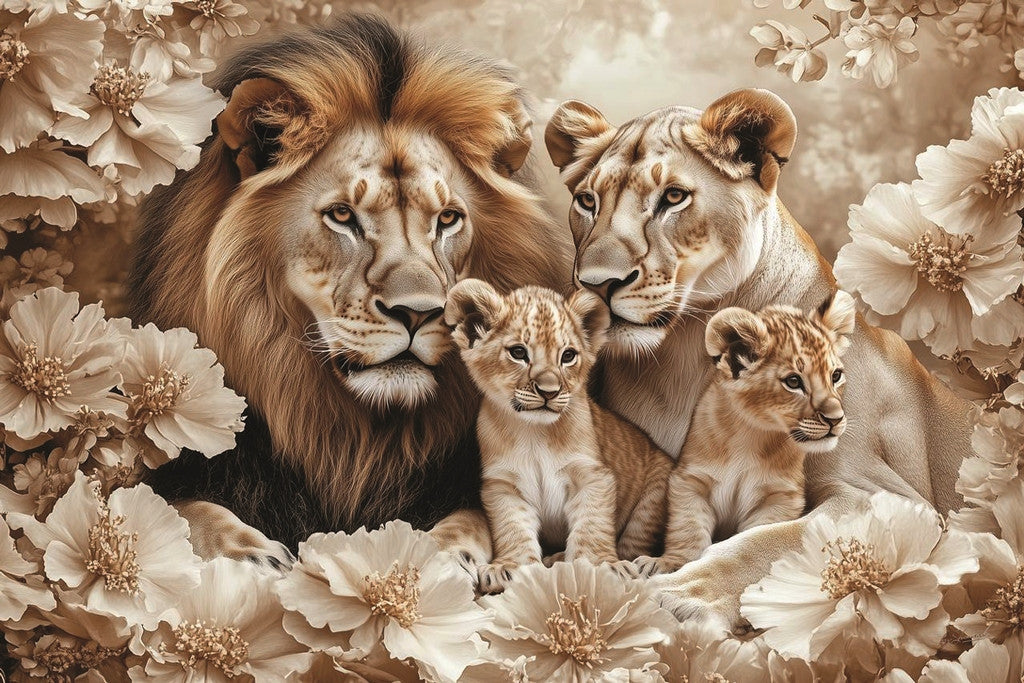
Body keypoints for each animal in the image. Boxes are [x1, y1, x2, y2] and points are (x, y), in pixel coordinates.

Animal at [126, 14, 572, 562]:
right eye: (342, 215)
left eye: (447, 219)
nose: (419, 312)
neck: (352, 439)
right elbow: (182, 515)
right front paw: (251, 554)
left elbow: (478, 518)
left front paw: (439, 552)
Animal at [538, 89, 973, 626]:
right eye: (587, 201)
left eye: (673, 198)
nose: (598, 282)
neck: (683, 355)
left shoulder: (889, 498)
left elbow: (777, 540)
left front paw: (681, 591)